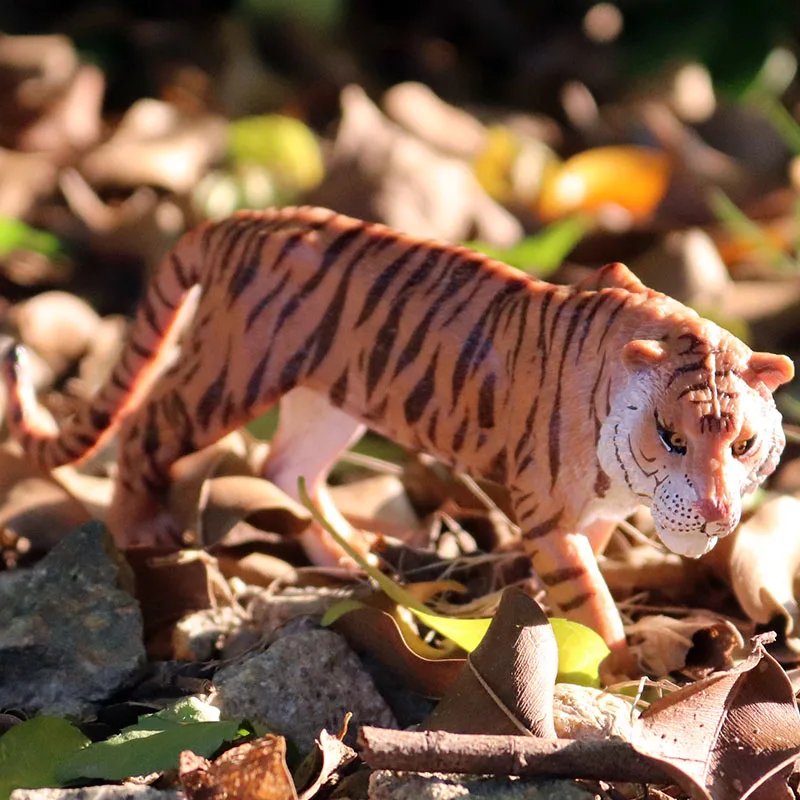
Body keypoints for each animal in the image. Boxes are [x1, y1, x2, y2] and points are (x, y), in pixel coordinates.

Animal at [2, 206, 793, 653]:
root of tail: (236, 222)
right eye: (672, 437)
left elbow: (587, 568)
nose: (718, 513)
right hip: (225, 379)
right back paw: (142, 529)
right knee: (145, 428)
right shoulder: (544, 508)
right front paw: (618, 669)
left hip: (330, 402)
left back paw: (351, 556)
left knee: (286, 466)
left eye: (744, 444)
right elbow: (589, 597)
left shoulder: (596, 509)